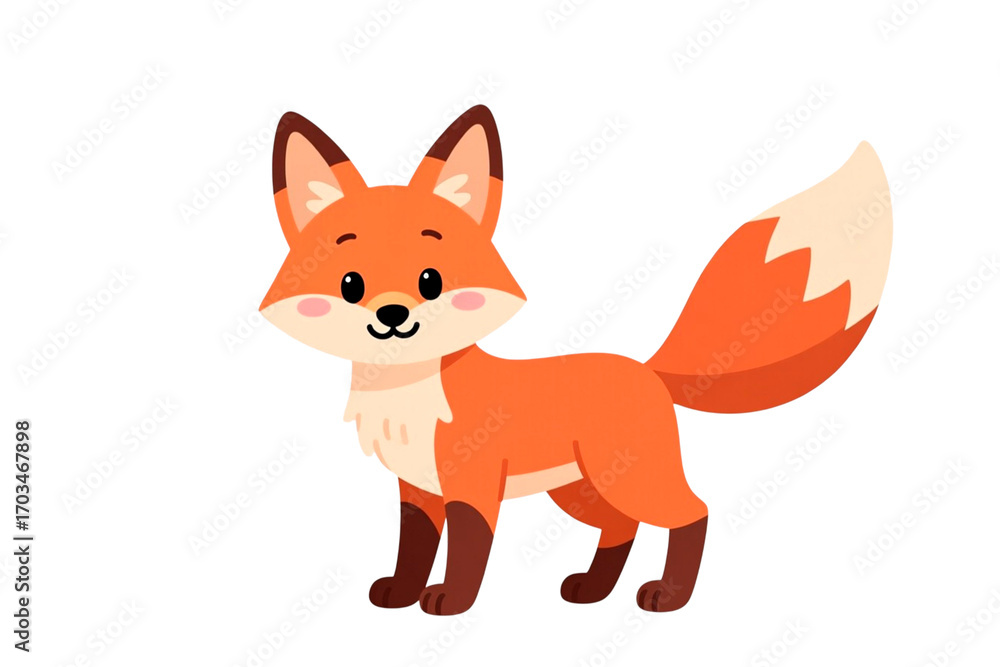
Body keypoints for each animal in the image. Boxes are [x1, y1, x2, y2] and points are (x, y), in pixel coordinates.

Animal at [259, 105, 892, 616]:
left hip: (629, 479)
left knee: (692, 512)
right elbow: (413, 550)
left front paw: (450, 602)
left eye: (431, 281)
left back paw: (668, 597)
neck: (409, 396)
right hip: (582, 490)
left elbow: (467, 553)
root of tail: (645, 368)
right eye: (350, 284)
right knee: (621, 526)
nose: (392, 316)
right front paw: (400, 592)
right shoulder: (417, 490)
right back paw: (593, 589)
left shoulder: (472, 486)